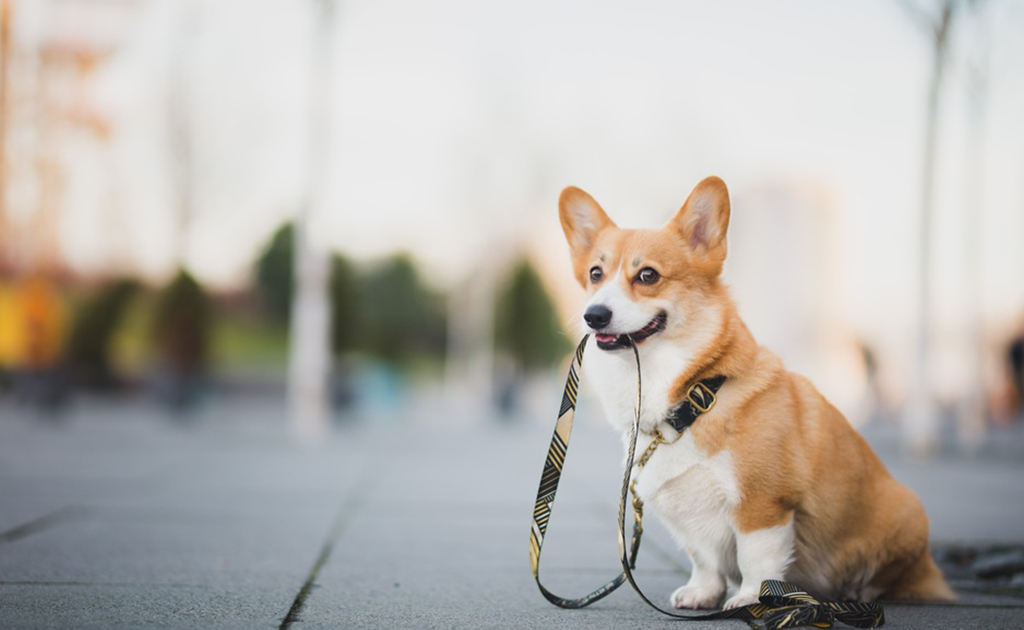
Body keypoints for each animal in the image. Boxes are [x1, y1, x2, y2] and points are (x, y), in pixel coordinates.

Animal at [561, 177, 950, 610]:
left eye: (647, 275)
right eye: (596, 273)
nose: (593, 315)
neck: (692, 398)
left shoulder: (762, 505)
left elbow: (756, 557)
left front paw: (752, 599)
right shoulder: (688, 517)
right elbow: (703, 557)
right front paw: (702, 593)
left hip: (907, 514)